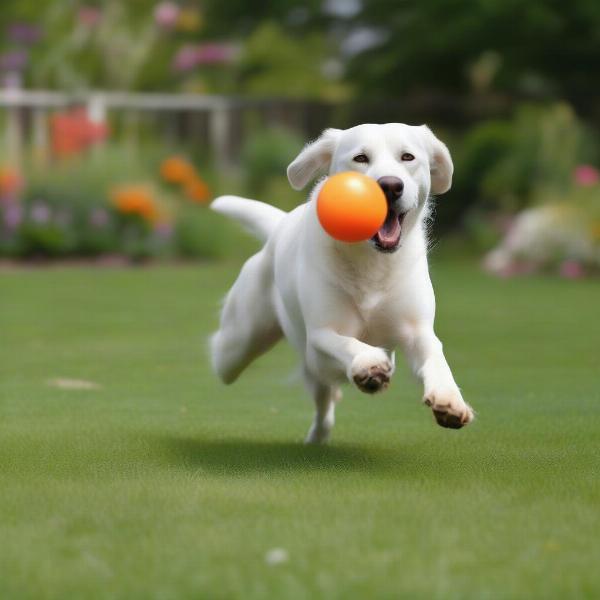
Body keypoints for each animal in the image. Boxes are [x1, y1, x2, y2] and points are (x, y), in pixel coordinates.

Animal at [210, 123, 474, 440]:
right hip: (237, 346)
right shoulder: (321, 335)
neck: (371, 259)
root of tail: (279, 227)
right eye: (360, 158)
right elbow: (348, 343)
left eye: (407, 157)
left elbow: (436, 357)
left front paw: (450, 399)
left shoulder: (417, 331)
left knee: (324, 401)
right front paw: (369, 365)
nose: (390, 185)